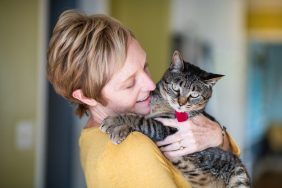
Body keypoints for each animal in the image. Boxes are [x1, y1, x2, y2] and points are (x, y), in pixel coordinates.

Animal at [100, 50, 250, 188]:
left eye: (194, 95)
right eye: (175, 88)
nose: (181, 103)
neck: (159, 104)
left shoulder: (166, 128)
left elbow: (140, 120)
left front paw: (113, 122)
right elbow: (138, 116)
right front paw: (119, 129)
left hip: (239, 176)